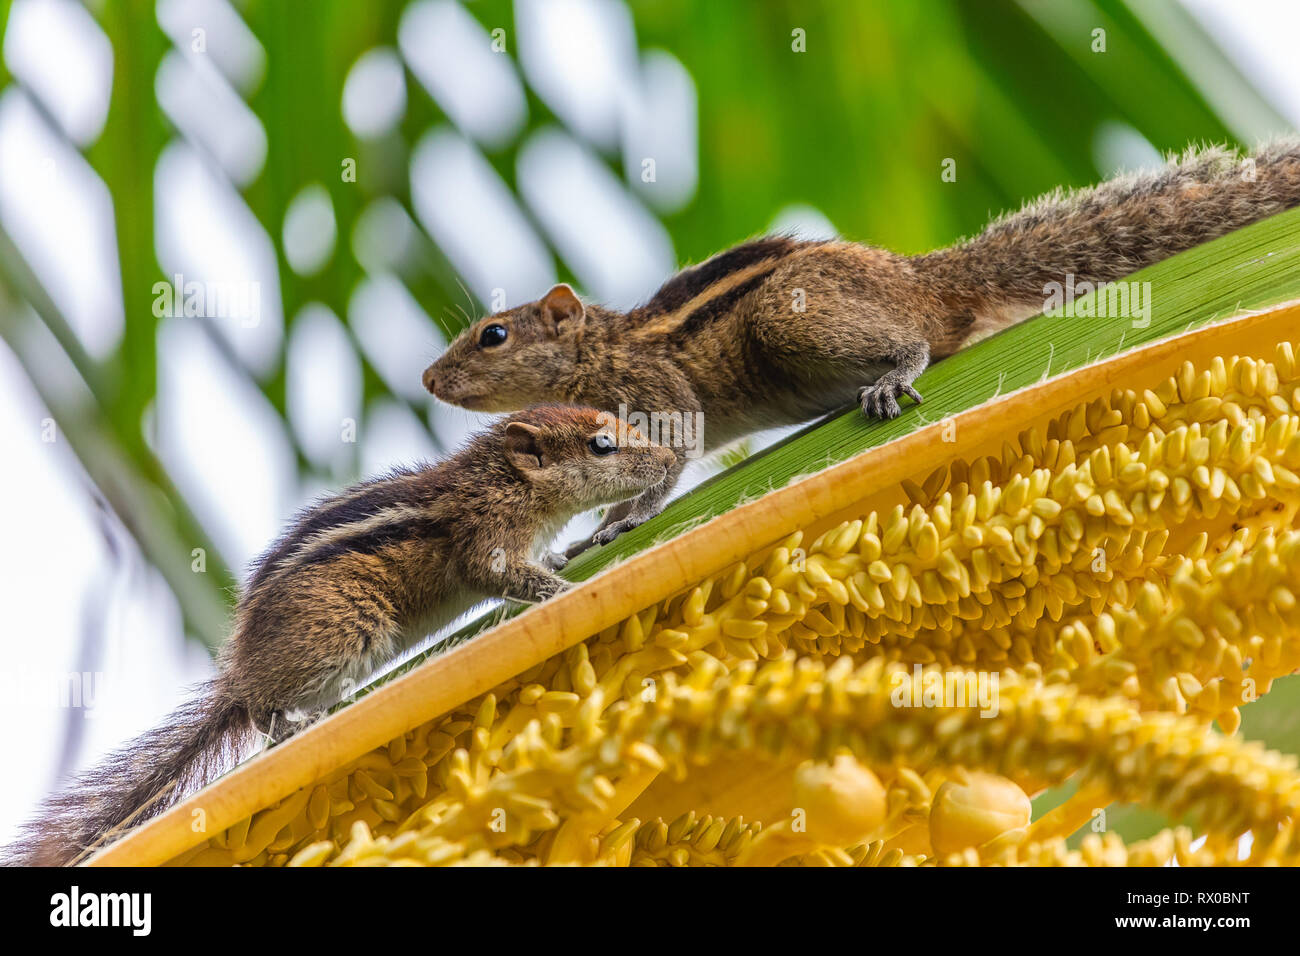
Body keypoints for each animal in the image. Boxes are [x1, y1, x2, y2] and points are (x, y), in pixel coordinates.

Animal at [10, 405, 676, 868]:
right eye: (603, 444)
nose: (670, 461)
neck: (503, 480)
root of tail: (238, 673)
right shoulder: (484, 537)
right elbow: (504, 577)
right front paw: (565, 589)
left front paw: (571, 554)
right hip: (346, 631)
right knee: (260, 710)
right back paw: (291, 725)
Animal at [426, 135, 1300, 554]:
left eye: (493, 334)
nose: (431, 380)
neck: (603, 349)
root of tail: (926, 278)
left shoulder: (654, 389)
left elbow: (672, 453)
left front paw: (616, 524)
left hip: (792, 316)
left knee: (916, 340)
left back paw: (890, 376)